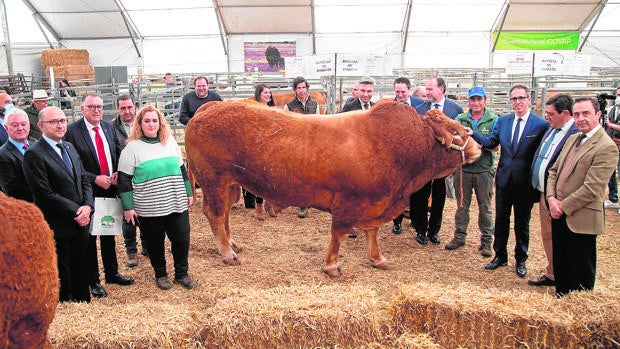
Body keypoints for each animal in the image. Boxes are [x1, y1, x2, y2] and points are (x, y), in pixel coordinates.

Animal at [186, 99, 482, 276]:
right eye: (459, 133)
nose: (479, 148)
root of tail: (210, 106)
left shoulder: (375, 202)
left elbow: (372, 231)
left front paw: (377, 258)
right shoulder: (350, 203)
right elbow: (338, 233)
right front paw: (331, 265)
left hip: (230, 184)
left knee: (224, 214)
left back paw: (232, 243)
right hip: (213, 181)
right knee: (215, 214)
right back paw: (227, 253)